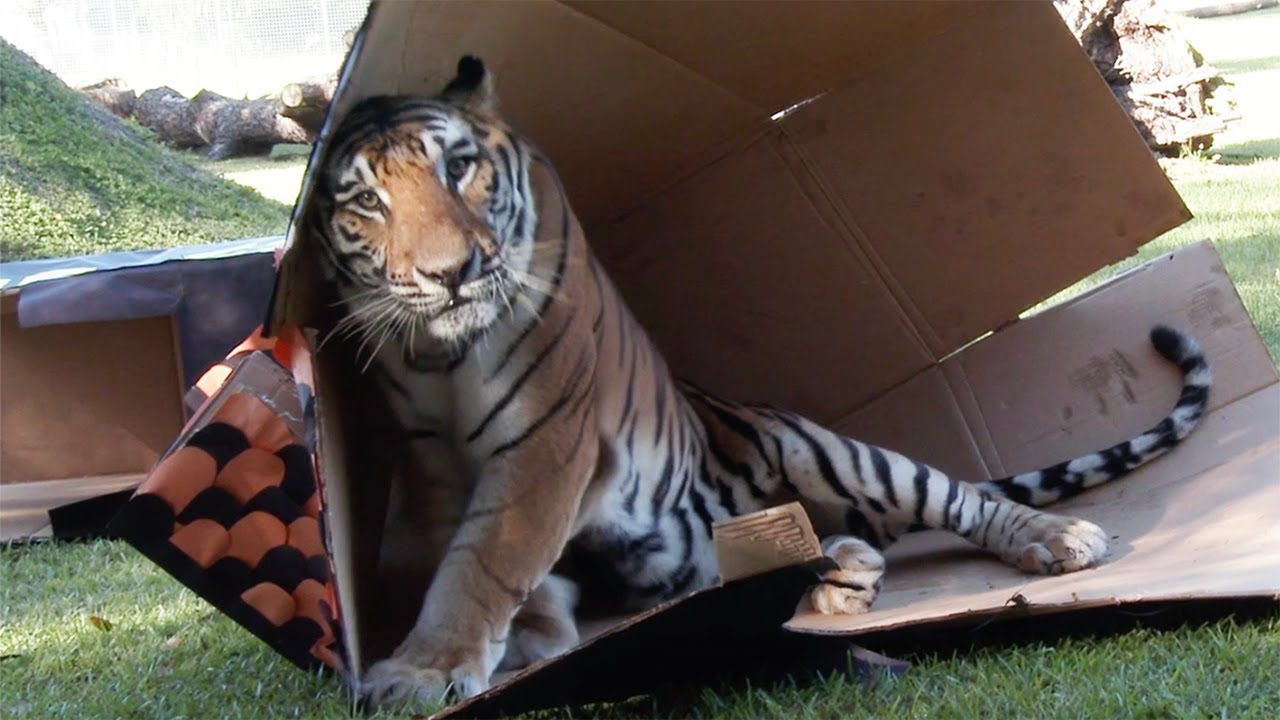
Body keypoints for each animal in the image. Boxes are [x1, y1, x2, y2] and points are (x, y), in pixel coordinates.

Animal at [309, 56, 1212, 708]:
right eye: (366, 201)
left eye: (460, 167)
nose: (451, 274)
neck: (439, 355)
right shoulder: (429, 456)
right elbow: (463, 553)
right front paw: (517, 640)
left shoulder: (546, 435)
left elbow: (484, 557)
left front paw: (422, 671)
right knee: (848, 559)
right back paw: (832, 566)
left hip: (838, 456)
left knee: (960, 497)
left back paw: (1057, 539)